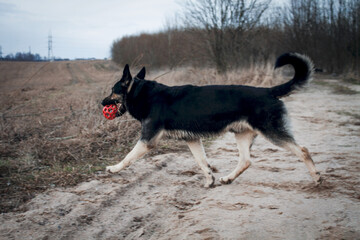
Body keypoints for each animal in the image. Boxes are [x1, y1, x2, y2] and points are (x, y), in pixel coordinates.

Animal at [102, 52, 322, 188]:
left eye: (112, 91)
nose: (101, 102)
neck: (142, 93)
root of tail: (268, 91)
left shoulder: (147, 140)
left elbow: (128, 157)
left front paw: (114, 168)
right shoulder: (192, 139)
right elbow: (202, 162)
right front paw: (210, 179)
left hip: (272, 132)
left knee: (303, 150)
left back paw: (317, 177)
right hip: (242, 135)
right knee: (245, 160)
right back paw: (227, 179)